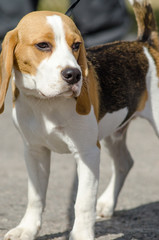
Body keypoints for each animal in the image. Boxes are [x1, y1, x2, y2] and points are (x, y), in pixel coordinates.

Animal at [0, 0, 159, 239]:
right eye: (43, 45)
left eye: (76, 45)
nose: (74, 75)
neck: (46, 104)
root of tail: (144, 44)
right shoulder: (34, 151)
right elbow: (35, 197)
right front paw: (27, 228)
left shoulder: (87, 153)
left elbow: (83, 202)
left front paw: (82, 233)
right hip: (112, 131)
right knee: (125, 162)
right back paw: (106, 204)